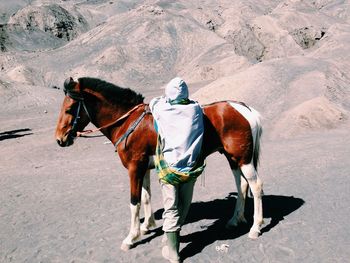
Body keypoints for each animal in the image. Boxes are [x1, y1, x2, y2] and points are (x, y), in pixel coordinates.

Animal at [54, 77, 262, 252]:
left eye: (69, 109)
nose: (59, 139)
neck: (128, 122)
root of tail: (245, 109)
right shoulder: (144, 168)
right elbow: (146, 197)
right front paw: (147, 226)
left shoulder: (134, 168)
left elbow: (134, 202)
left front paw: (131, 237)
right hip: (233, 158)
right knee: (242, 185)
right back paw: (235, 220)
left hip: (243, 159)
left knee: (256, 186)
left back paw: (255, 228)